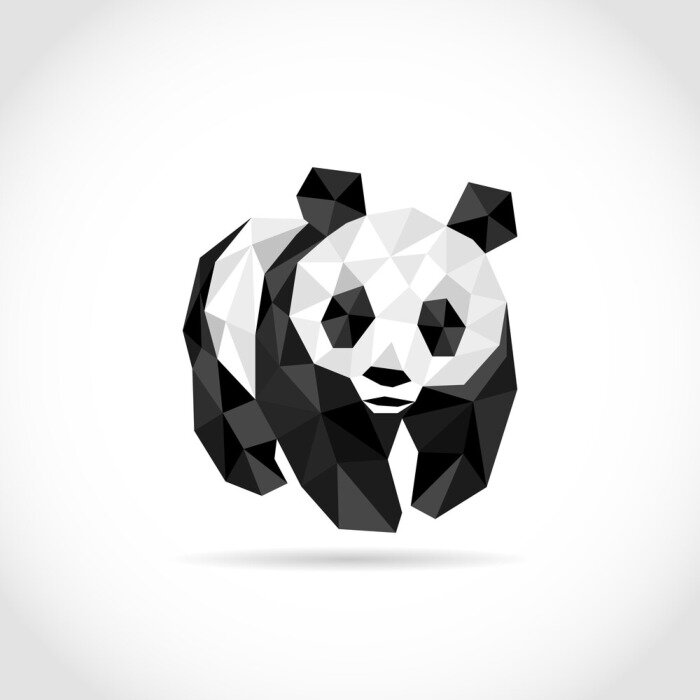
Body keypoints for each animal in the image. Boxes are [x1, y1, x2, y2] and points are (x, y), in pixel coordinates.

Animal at [183, 168, 517, 532]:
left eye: (442, 324)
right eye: (347, 314)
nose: (387, 376)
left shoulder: (480, 366)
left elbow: (464, 423)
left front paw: (433, 497)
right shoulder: (295, 354)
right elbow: (333, 437)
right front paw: (375, 515)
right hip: (213, 341)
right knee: (231, 409)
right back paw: (259, 476)